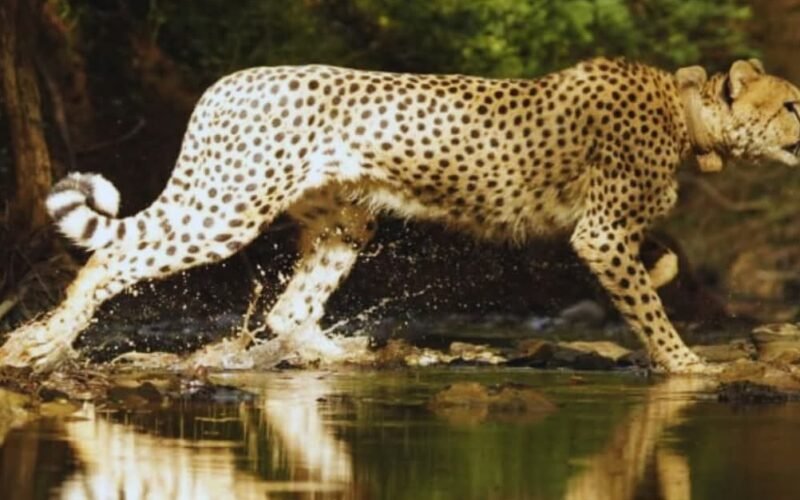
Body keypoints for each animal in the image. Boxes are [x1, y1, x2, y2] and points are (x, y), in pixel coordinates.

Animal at [2, 57, 799, 373]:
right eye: (792, 102)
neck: (689, 114)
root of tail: (228, 81)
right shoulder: (599, 233)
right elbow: (649, 309)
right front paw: (687, 364)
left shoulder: (606, 231)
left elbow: (661, 265)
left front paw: (668, 293)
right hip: (229, 205)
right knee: (111, 257)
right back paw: (39, 343)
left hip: (345, 221)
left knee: (289, 310)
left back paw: (348, 355)